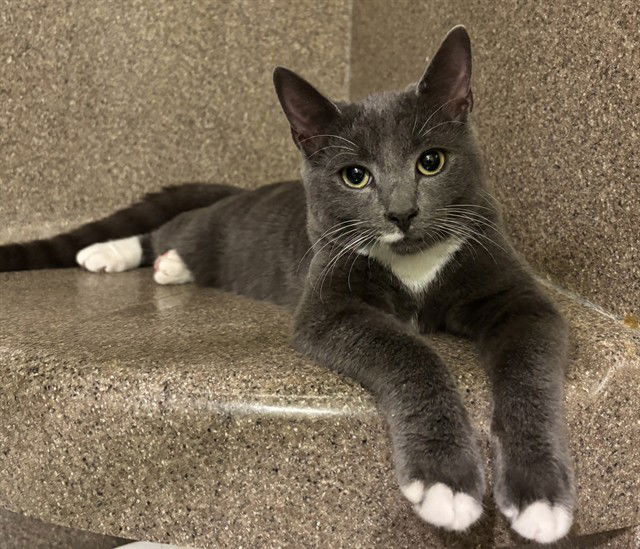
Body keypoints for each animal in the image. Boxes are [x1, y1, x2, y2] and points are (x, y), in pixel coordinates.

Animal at [0, 26, 575, 544]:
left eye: (431, 161)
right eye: (355, 176)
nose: (402, 212)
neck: (413, 265)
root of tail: (235, 191)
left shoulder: (516, 294)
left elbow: (528, 370)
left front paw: (540, 495)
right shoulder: (329, 305)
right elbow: (409, 353)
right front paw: (445, 483)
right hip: (208, 227)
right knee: (166, 229)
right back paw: (111, 255)